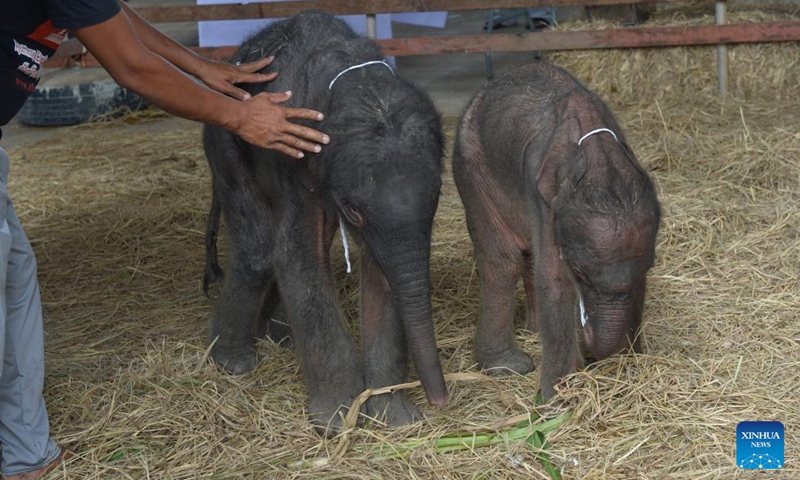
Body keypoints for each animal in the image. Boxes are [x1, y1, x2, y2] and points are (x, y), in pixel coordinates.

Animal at [202, 11, 446, 434]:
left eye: (438, 195)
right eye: (354, 211)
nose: (440, 401)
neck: (355, 82)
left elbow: (382, 272)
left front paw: (394, 418)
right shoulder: (297, 155)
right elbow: (298, 255)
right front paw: (337, 423)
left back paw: (278, 336)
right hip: (224, 139)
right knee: (258, 249)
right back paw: (233, 362)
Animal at [452, 62, 661, 398]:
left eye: (649, 267)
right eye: (581, 274)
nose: (587, 330)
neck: (596, 155)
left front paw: (630, 370)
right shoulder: (545, 197)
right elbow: (555, 281)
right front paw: (557, 401)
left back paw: (534, 332)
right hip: (471, 166)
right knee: (502, 261)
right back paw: (508, 366)